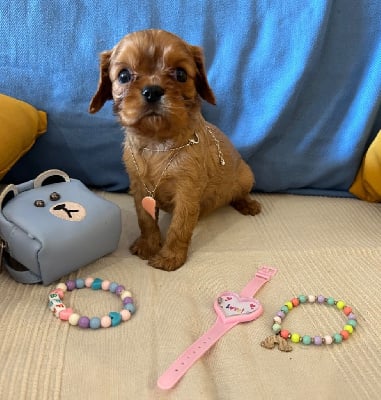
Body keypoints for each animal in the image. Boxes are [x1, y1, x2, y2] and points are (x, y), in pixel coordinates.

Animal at [89, 28, 260, 272]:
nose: (152, 91)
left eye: (180, 74)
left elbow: (179, 226)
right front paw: (149, 245)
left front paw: (170, 257)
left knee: (239, 192)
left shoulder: (187, 192)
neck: (157, 145)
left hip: (246, 176)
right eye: (123, 76)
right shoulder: (139, 187)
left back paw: (247, 204)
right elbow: (145, 219)